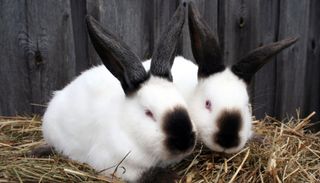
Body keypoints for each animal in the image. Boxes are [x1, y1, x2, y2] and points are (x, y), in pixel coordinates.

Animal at [41, 3, 196, 183]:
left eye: (183, 103)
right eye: (148, 113)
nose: (184, 141)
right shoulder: (114, 163)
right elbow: (141, 173)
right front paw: (168, 176)